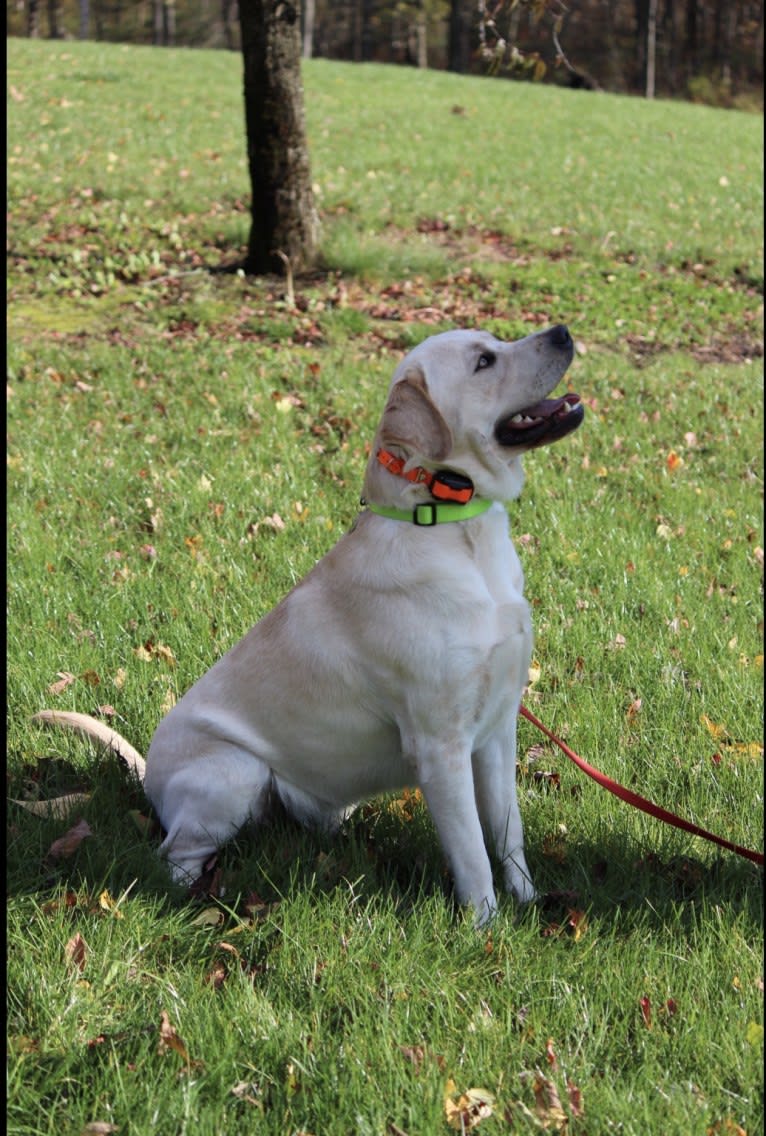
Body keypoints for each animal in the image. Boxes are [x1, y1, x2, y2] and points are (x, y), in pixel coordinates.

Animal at [34, 327, 579, 922]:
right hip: (234, 771)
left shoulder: (498, 729)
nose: (561, 332)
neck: (456, 530)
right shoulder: (441, 744)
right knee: (173, 855)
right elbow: (473, 853)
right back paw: (203, 897)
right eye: (484, 361)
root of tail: (148, 776)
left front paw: (529, 902)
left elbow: (507, 831)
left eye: (496, 339)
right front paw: (486, 928)